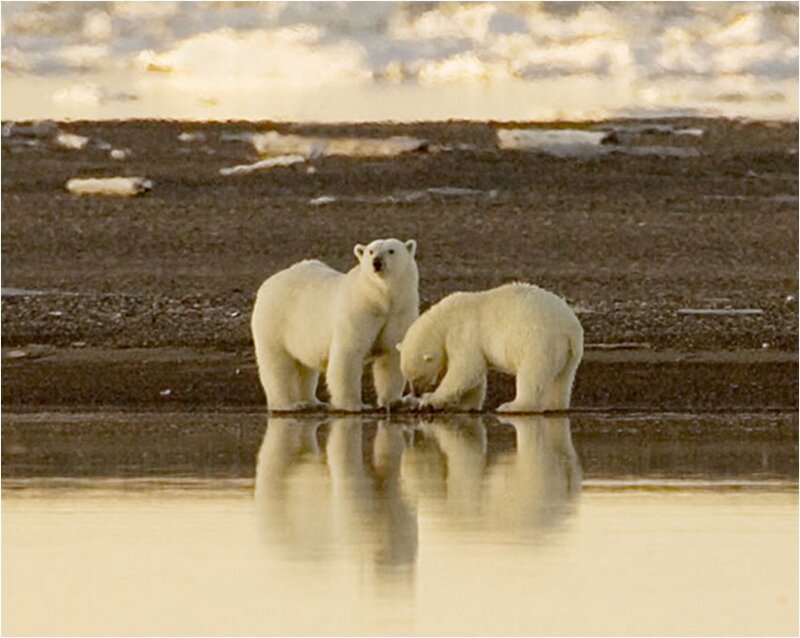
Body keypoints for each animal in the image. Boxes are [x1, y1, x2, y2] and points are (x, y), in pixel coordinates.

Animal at [251, 238, 419, 412]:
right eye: (371, 251)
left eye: (391, 250)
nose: (376, 262)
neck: (380, 300)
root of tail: (268, 283)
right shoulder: (358, 311)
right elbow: (348, 353)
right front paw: (354, 405)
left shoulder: (399, 312)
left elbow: (391, 354)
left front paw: (392, 401)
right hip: (275, 321)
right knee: (278, 365)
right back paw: (288, 404)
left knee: (304, 367)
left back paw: (312, 401)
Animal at [397, 282, 583, 412]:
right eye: (407, 377)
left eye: (416, 377)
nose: (415, 392)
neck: (443, 319)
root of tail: (570, 329)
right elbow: (473, 376)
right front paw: (464, 405)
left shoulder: (463, 332)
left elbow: (466, 369)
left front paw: (428, 400)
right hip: (568, 354)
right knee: (562, 379)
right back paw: (554, 406)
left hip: (539, 341)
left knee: (532, 374)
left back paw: (511, 406)